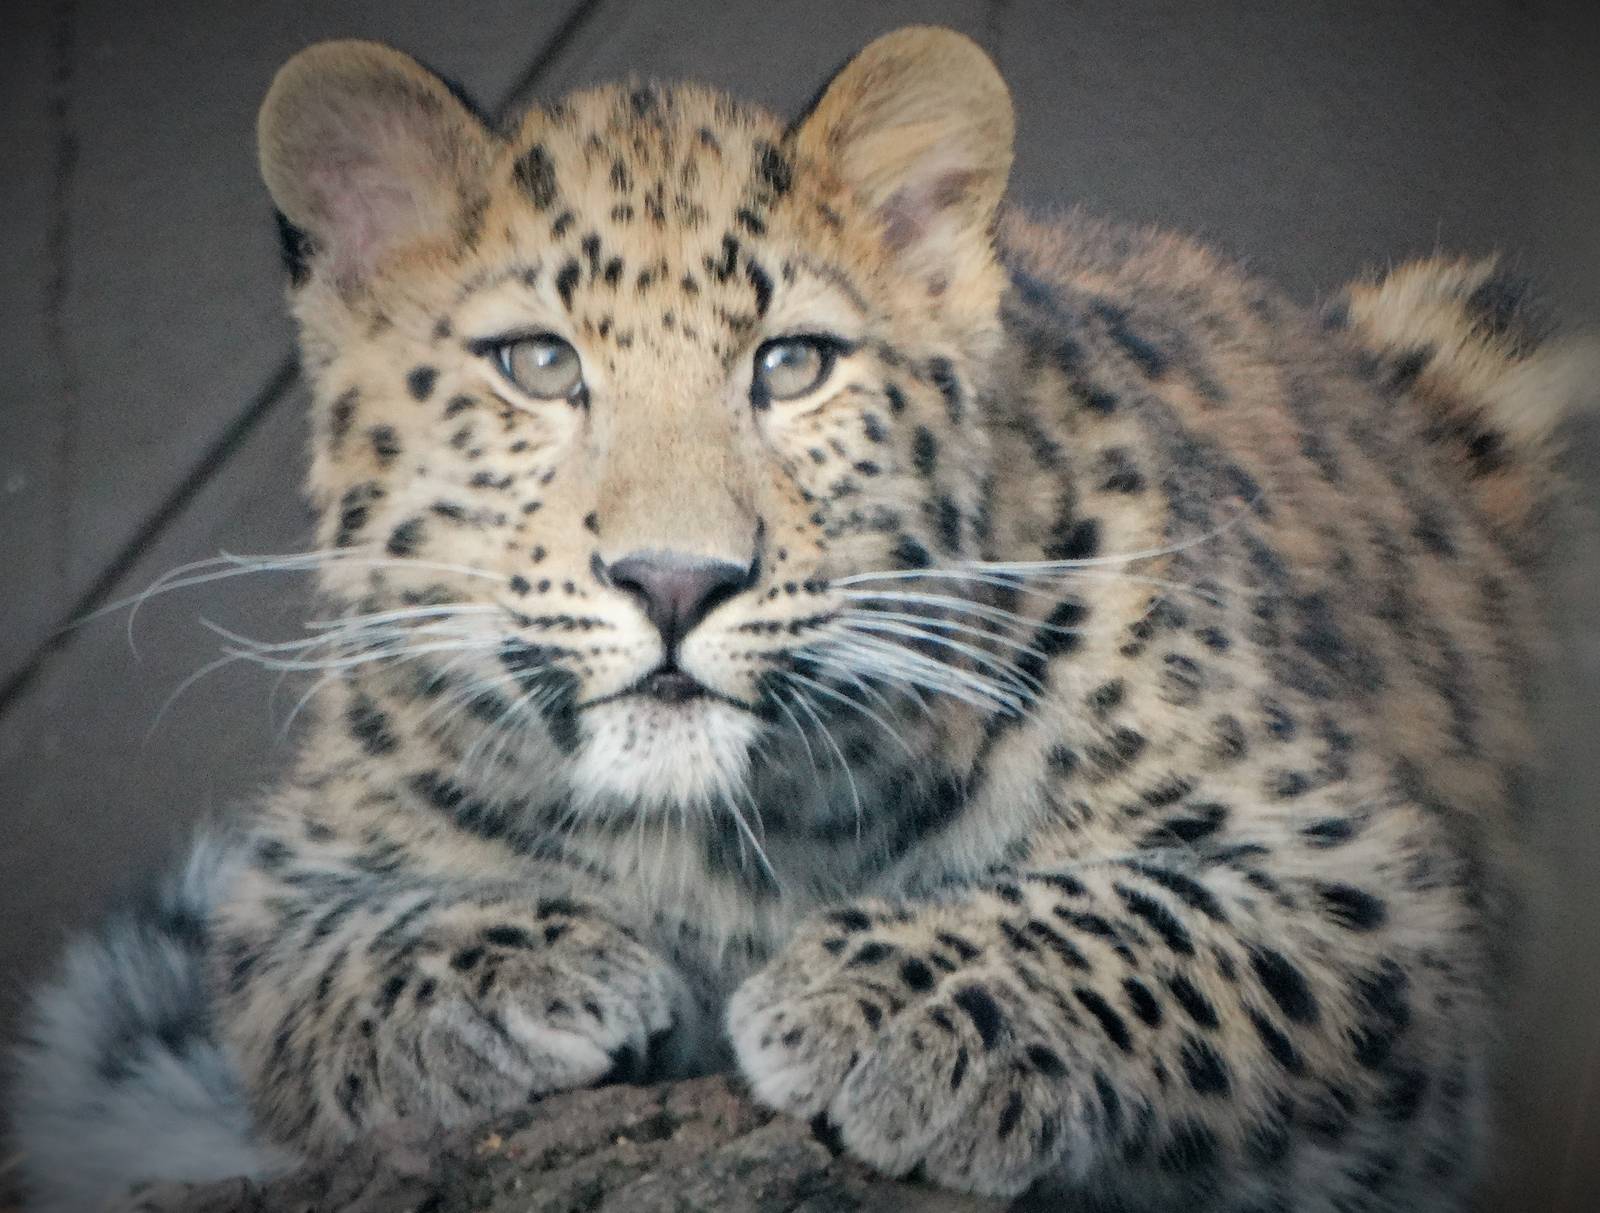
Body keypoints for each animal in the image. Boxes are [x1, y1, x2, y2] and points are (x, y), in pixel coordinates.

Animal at [9, 25, 1595, 1213]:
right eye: (539, 364)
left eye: (792, 365)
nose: (674, 581)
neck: (729, 846)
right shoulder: (293, 876)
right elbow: (331, 957)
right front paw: (533, 970)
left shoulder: (1355, 875)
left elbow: (1146, 921)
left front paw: (886, 1006)